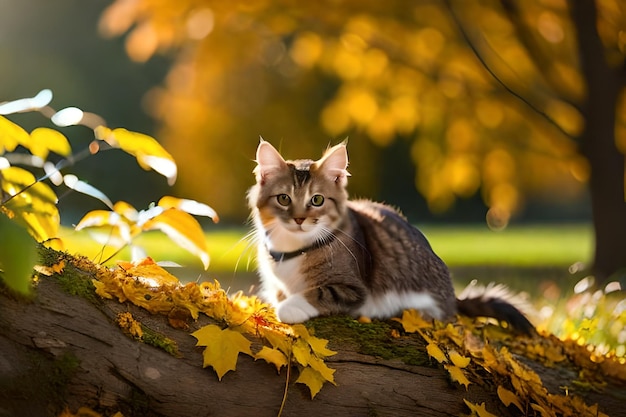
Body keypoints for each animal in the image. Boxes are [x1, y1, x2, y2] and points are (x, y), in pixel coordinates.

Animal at [246, 140, 528, 332]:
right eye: (284, 199)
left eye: (317, 200)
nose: (299, 219)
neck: (293, 250)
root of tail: (452, 297)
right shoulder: (276, 284)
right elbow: (278, 294)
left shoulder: (352, 289)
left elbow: (315, 294)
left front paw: (289, 307)